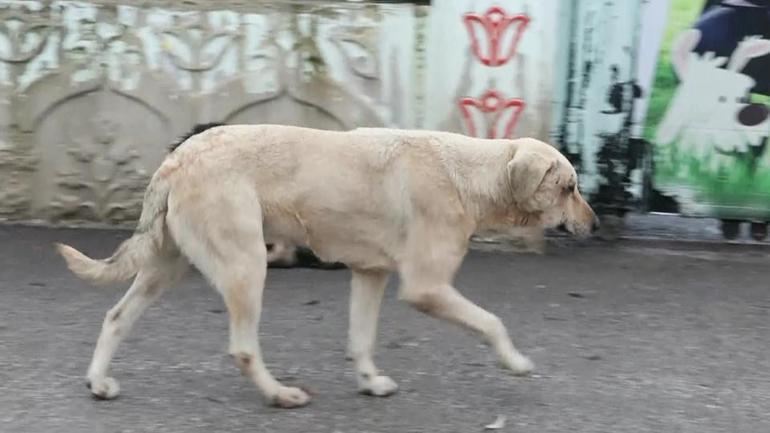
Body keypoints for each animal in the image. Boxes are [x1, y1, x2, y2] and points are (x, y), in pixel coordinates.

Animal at [57, 124, 596, 404]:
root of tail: (176, 157)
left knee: (115, 317)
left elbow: (361, 341)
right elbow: (493, 323)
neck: (470, 174)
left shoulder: (371, 275)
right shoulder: (425, 287)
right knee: (243, 348)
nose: (594, 226)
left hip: (168, 267)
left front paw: (370, 382)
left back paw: (98, 381)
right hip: (246, 265)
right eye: (570, 187)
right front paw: (516, 362)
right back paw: (279, 394)